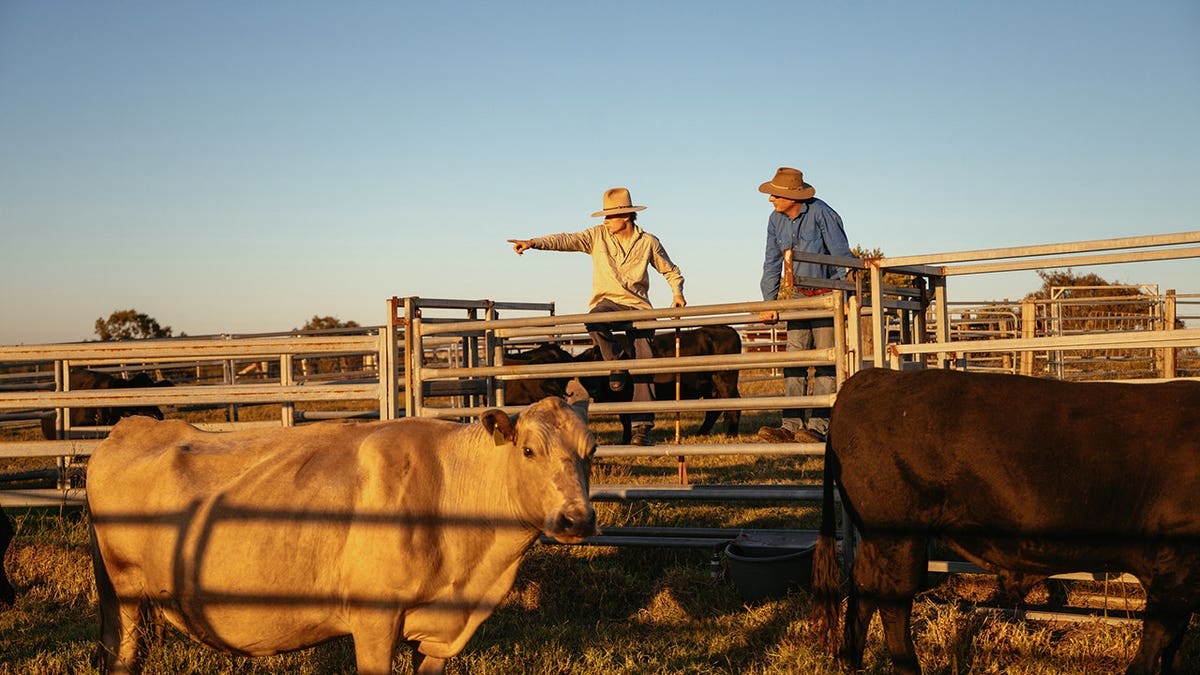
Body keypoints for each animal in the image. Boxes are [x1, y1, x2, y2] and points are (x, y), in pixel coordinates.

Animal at [87, 387, 596, 675]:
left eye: (591, 450)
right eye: (528, 450)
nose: (577, 519)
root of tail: (134, 426)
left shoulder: (436, 635)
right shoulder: (373, 621)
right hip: (125, 593)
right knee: (123, 659)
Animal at [811, 367, 1200, 675]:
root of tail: (873, 376)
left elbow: (1174, 650)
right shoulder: (1175, 569)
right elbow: (1154, 648)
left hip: (879, 539)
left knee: (864, 585)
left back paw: (851, 662)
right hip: (898, 535)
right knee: (892, 600)